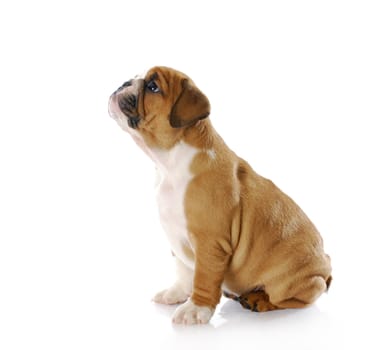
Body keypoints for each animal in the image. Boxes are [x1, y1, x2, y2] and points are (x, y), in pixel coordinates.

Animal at [107, 66, 332, 326]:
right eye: (135, 77)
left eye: (153, 87)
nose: (124, 83)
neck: (168, 163)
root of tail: (326, 268)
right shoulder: (175, 236)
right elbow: (183, 270)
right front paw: (175, 293)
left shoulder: (210, 243)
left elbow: (203, 278)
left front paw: (196, 309)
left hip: (289, 280)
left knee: (296, 299)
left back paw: (259, 299)